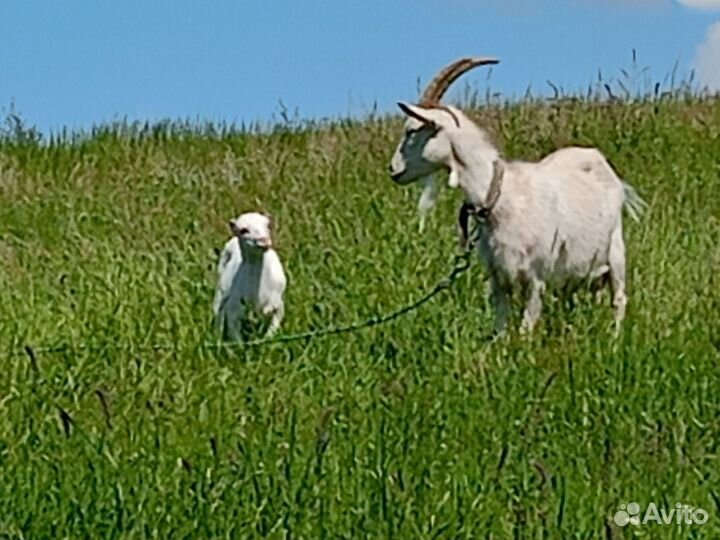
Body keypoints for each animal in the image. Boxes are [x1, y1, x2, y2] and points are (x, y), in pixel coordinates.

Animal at [213, 212, 287, 340]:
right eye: (243, 230)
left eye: (267, 226)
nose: (264, 241)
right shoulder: (233, 312)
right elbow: (237, 340)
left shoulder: (278, 305)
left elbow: (271, 332)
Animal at [388, 57, 646, 334]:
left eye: (411, 130)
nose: (392, 169)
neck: (500, 196)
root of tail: (600, 161)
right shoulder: (499, 277)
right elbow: (500, 327)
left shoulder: (536, 276)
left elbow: (526, 328)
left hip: (616, 251)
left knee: (619, 298)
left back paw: (615, 337)